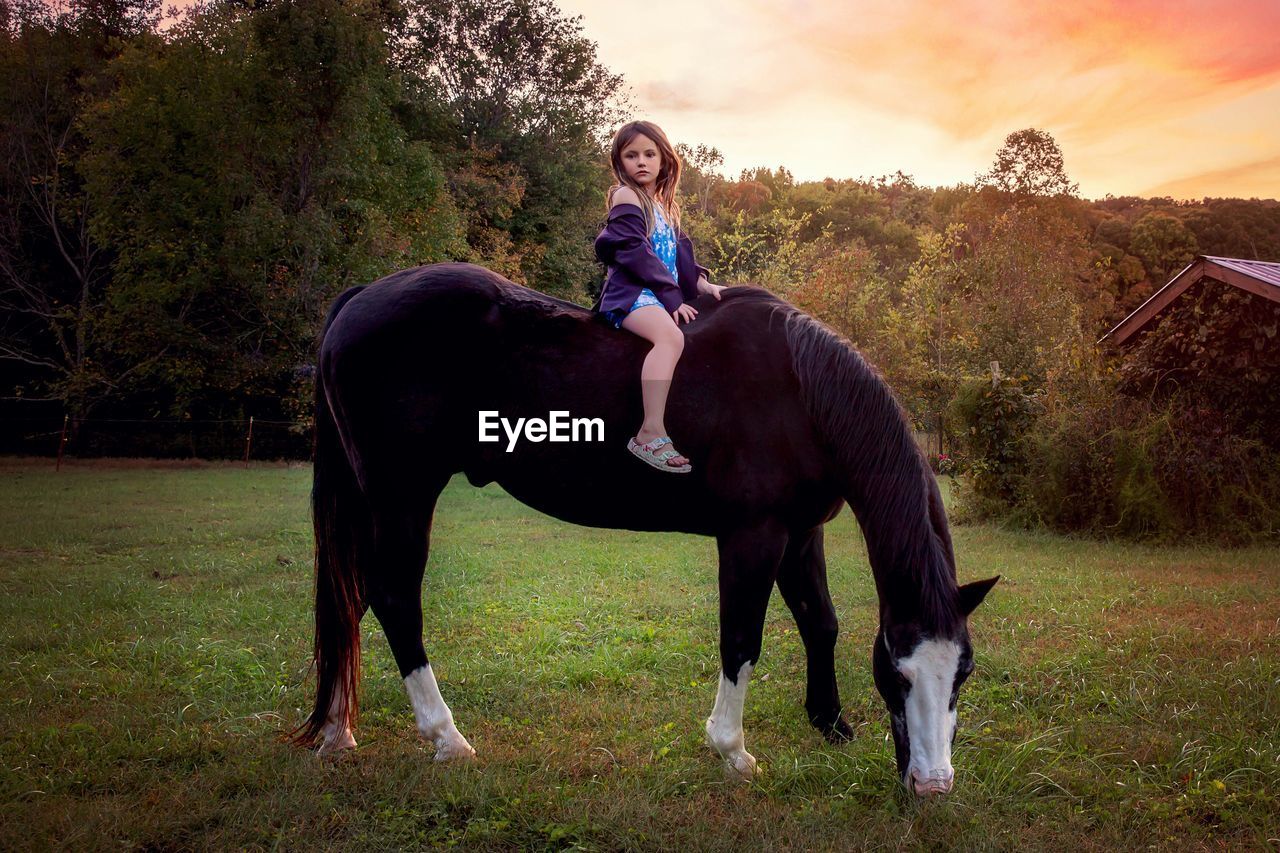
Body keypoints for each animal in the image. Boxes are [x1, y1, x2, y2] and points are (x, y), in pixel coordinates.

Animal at [293, 262, 998, 794]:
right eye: (899, 675)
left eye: (961, 674)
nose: (933, 785)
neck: (800, 392)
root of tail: (362, 296)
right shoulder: (754, 536)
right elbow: (741, 638)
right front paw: (731, 749)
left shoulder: (801, 534)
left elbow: (819, 623)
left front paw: (830, 724)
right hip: (402, 498)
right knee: (394, 600)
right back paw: (446, 738)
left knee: (351, 596)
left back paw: (337, 731)